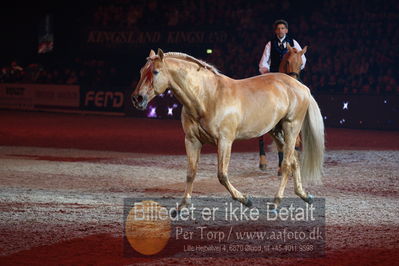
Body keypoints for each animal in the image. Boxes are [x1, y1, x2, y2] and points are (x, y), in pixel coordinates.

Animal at [132, 47, 324, 210]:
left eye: (155, 72)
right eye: (141, 71)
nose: (137, 98)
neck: (207, 97)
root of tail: (301, 87)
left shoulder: (225, 141)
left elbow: (222, 175)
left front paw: (245, 199)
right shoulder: (192, 141)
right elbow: (191, 173)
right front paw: (182, 206)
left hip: (291, 127)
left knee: (286, 163)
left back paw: (276, 202)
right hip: (276, 131)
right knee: (294, 160)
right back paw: (304, 195)